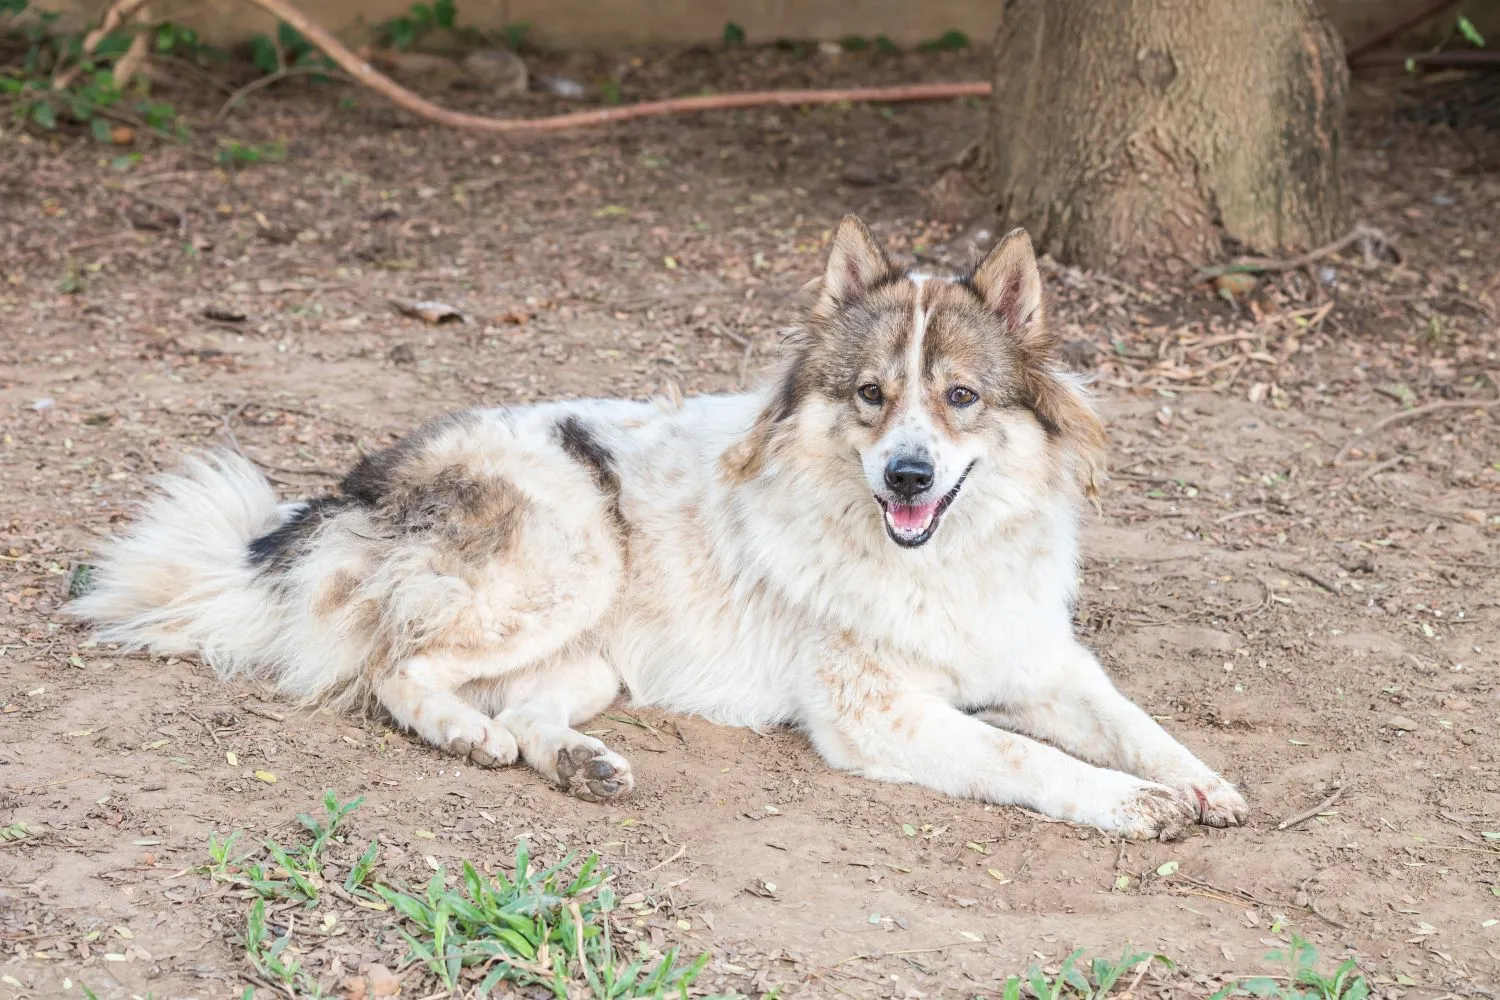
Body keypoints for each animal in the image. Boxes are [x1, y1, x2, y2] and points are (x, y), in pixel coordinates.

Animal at [70, 217, 1248, 839]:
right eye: (870, 395)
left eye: (960, 397)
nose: (907, 471)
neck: (936, 560)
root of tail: (357, 487)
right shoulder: (877, 715)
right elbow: (1022, 755)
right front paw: (1136, 803)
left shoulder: (1043, 660)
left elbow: (1131, 720)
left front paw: (1201, 782)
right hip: (568, 566)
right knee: (395, 669)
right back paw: (464, 737)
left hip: (594, 658)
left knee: (525, 707)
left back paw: (575, 761)